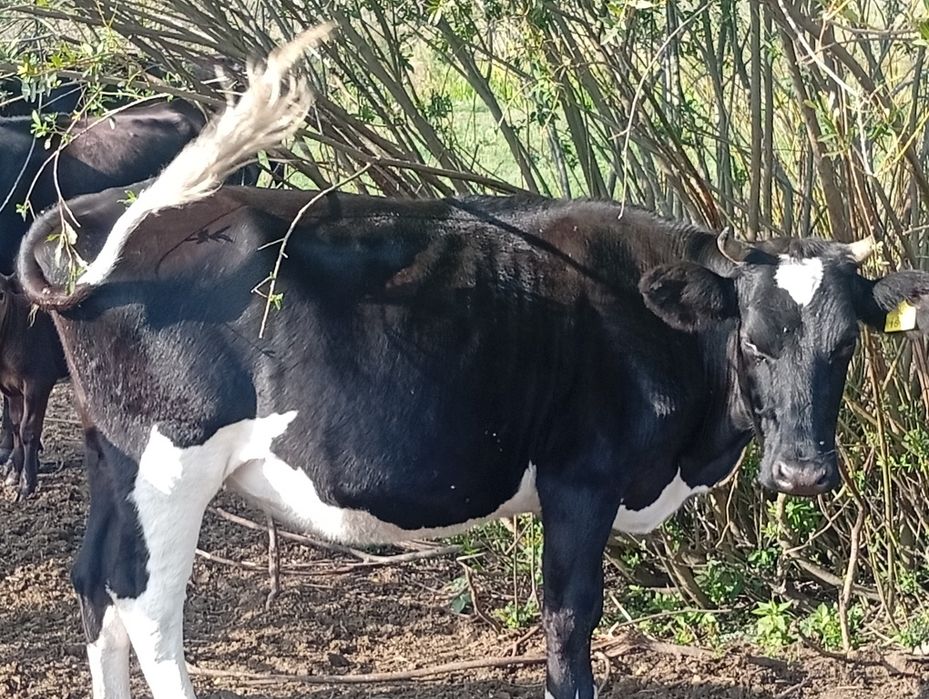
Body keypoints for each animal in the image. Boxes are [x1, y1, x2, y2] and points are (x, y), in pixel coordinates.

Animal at [17, 31, 929, 699]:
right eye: (754, 338)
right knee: (145, 600)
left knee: (93, 583)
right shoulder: (580, 477)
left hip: (111, 453)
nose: (803, 472)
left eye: (844, 343)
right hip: (170, 457)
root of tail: (112, 211)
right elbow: (568, 619)